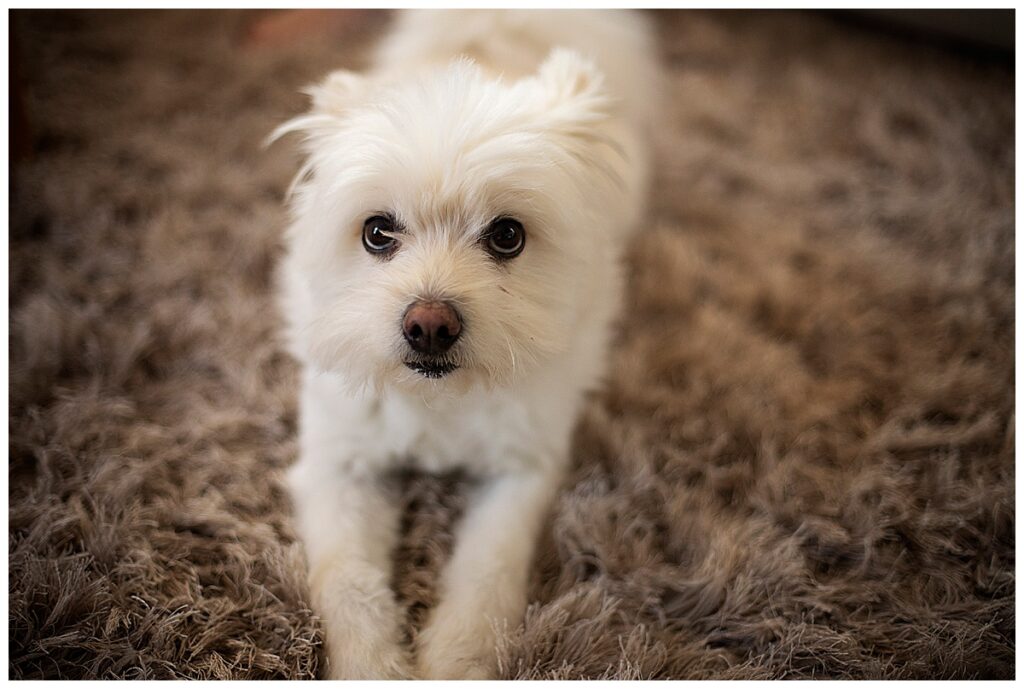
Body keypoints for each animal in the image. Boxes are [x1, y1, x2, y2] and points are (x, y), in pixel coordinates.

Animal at [274, 9, 655, 675]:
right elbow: (347, 583)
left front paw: (454, 661)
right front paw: (372, 665)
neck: (440, 401)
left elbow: (486, 577)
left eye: (507, 235)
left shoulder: (521, 471)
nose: (429, 324)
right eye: (377, 232)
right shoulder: (338, 467)